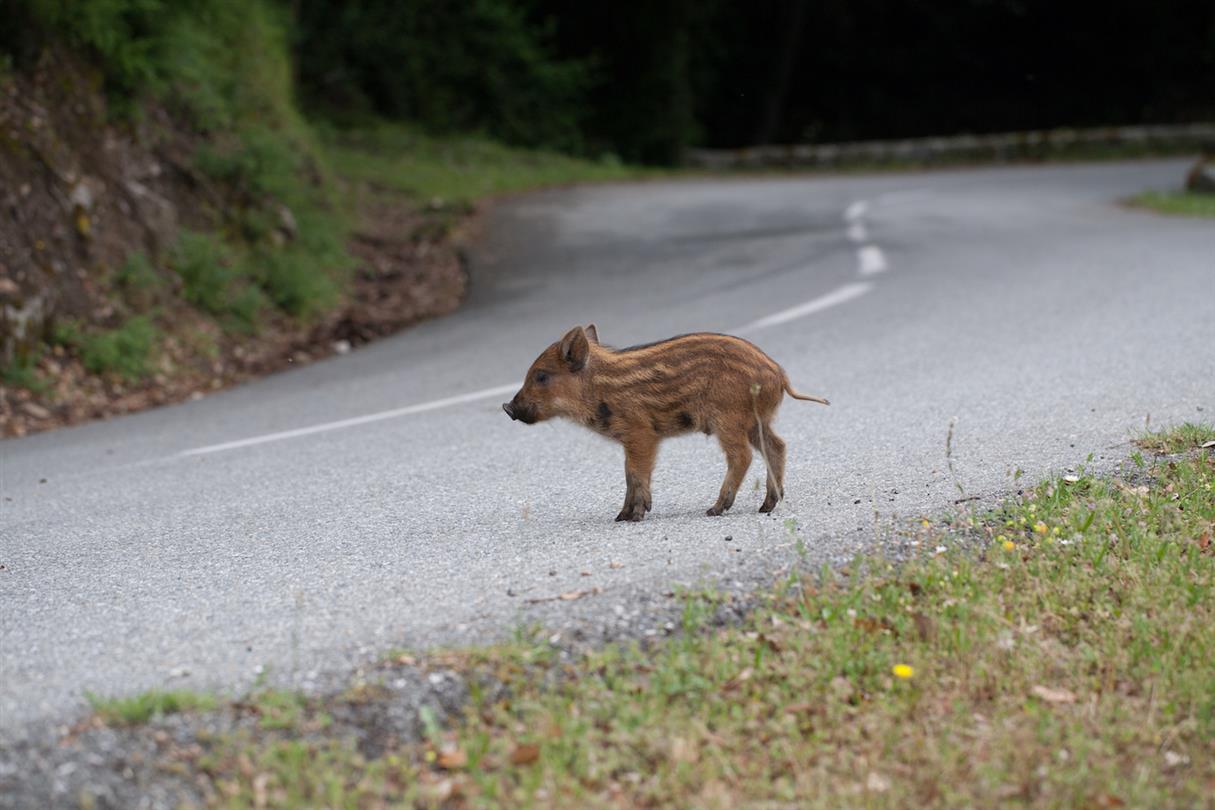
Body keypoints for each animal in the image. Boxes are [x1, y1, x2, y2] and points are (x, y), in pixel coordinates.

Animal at [503, 325, 829, 521]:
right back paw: (767, 505)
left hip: (728, 418)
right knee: (777, 446)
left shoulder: (641, 433)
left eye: (541, 376)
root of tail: (779, 374)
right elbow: (628, 474)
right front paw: (621, 517)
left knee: (742, 456)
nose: (507, 407)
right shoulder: (633, 438)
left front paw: (635, 516)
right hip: (755, 421)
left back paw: (715, 509)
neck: (599, 388)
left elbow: (636, 473)